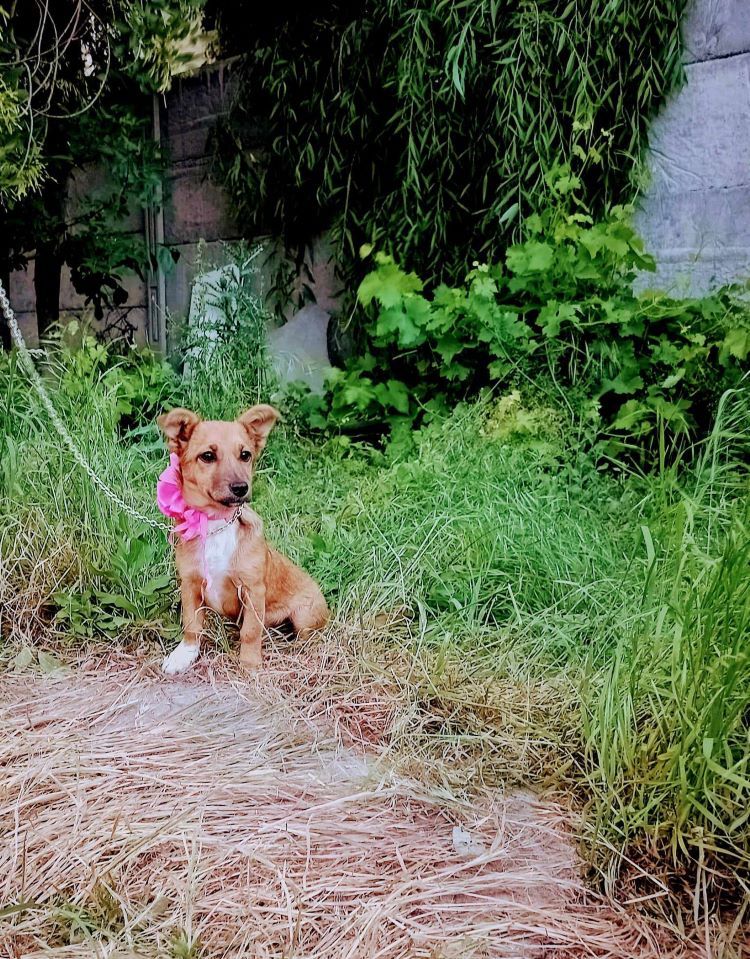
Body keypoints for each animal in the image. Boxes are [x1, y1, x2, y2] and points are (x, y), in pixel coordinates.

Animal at [158, 404, 328, 676]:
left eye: (245, 455)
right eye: (207, 456)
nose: (241, 488)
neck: (216, 525)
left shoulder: (253, 589)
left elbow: (251, 631)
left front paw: (249, 663)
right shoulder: (190, 584)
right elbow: (191, 625)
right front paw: (184, 655)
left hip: (305, 616)